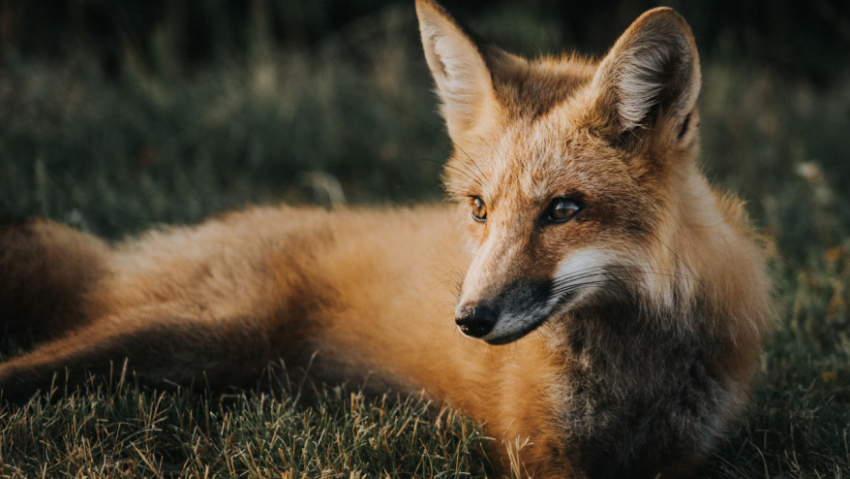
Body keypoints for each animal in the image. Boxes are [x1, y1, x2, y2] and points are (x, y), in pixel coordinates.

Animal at [0, 1, 768, 478]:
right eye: (479, 208)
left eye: (563, 209)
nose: (469, 319)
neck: (631, 376)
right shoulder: (537, 450)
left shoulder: (685, 455)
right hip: (192, 333)